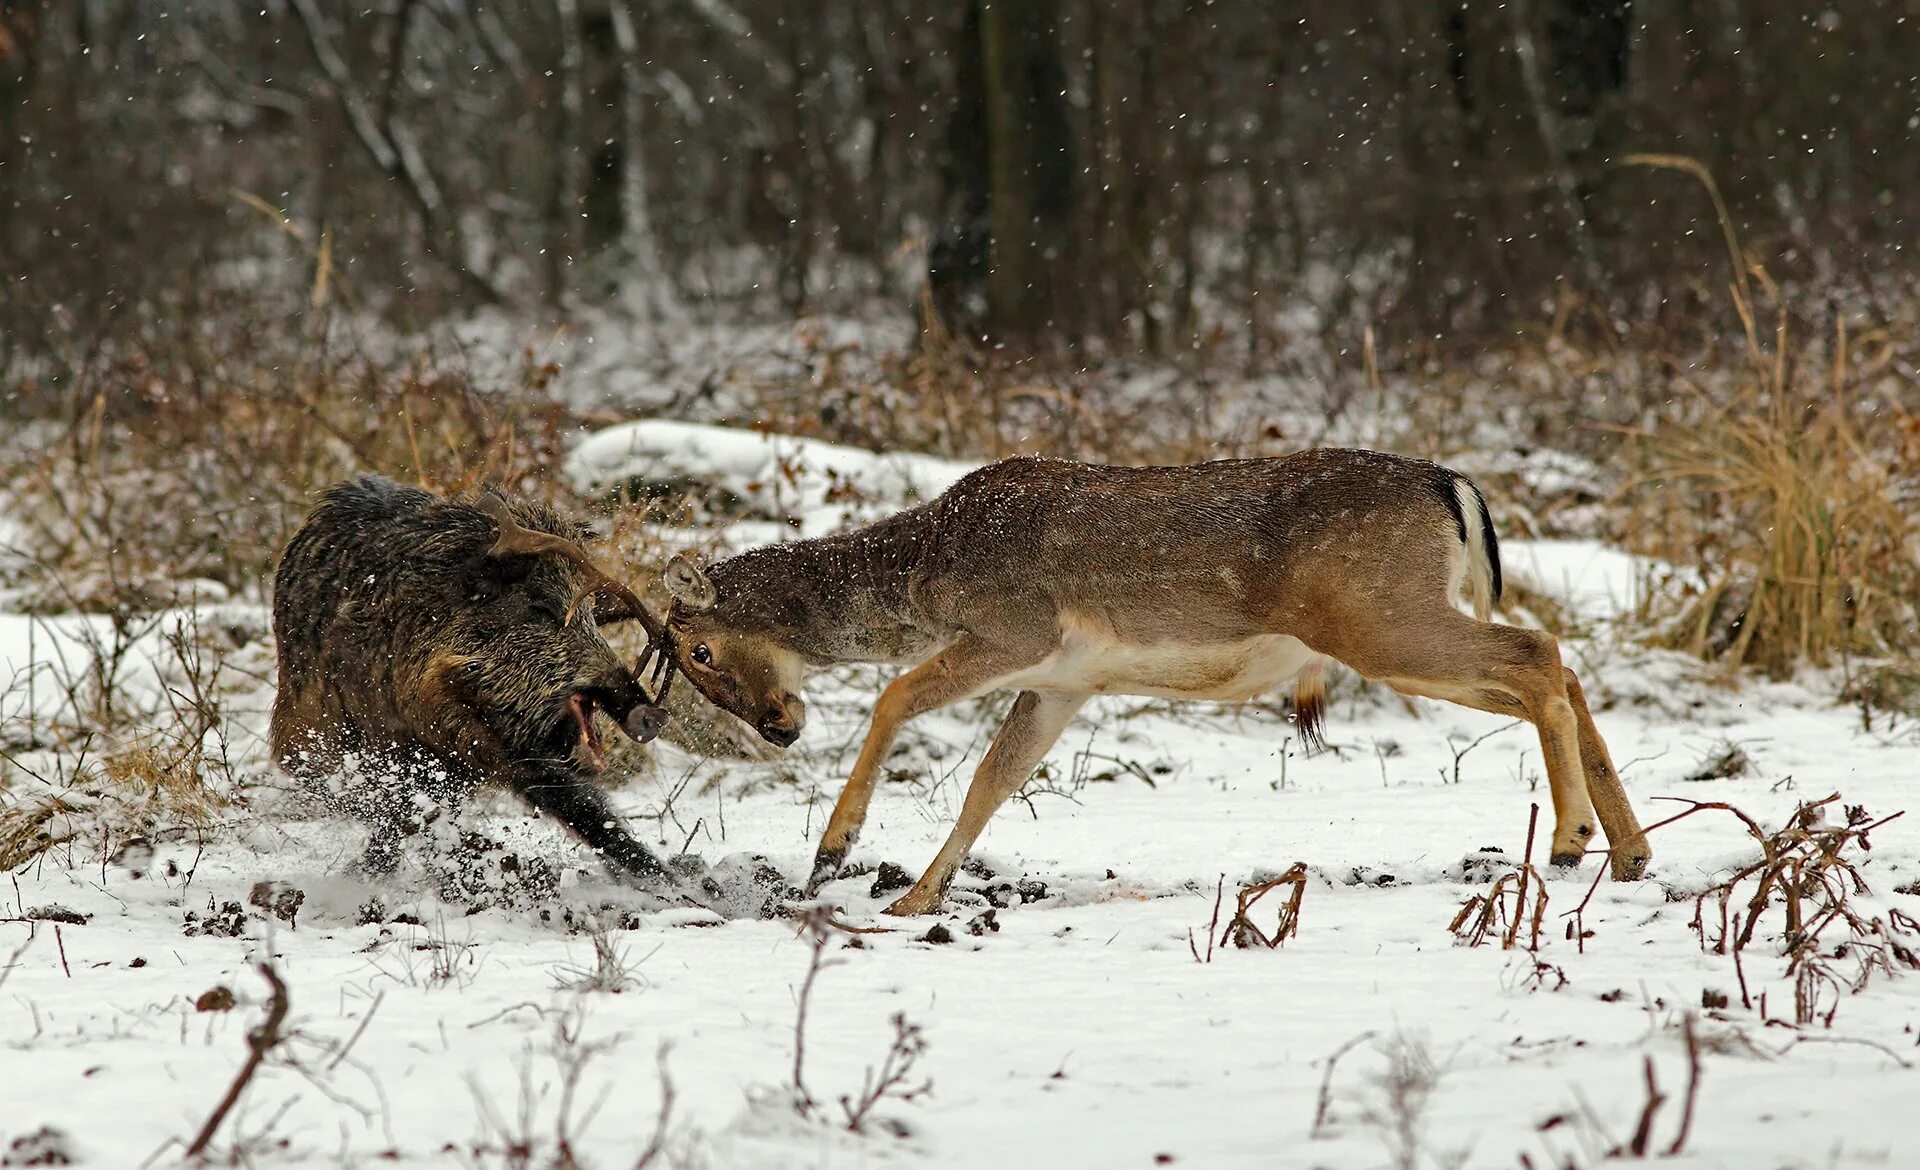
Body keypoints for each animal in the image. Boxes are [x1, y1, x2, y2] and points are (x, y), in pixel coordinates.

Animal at [656, 447, 1651, 914]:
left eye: (697, 650)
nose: (779, 728)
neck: (924, 573)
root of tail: (1455, 487)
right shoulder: (1065, 680)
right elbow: (991, 783)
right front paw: (915, 896)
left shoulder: (1017, 625)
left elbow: (894, 694)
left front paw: (836, 847)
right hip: (1389, 622)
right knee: (1558, 664)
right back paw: (1629, 850)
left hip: (1379, 619)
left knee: (1539, 653)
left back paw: (1571, 837)